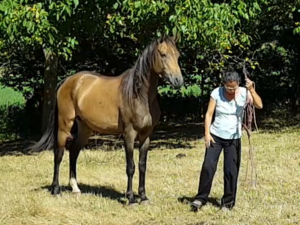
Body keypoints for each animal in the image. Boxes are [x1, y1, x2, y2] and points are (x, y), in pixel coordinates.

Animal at [28, 35, 183, 206]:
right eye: (163, 54)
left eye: (178, 56)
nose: (178, 80)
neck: (139, 95)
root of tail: (67, 82)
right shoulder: (129, 134)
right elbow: (130, 166)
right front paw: (131, 198)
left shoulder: (146, 135)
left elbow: (142, 165)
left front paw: (143, 197)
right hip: (64, 126)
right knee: (59, 154)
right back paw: (56, 190)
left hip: (85, 128)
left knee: (74, 151)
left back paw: (75, 188)